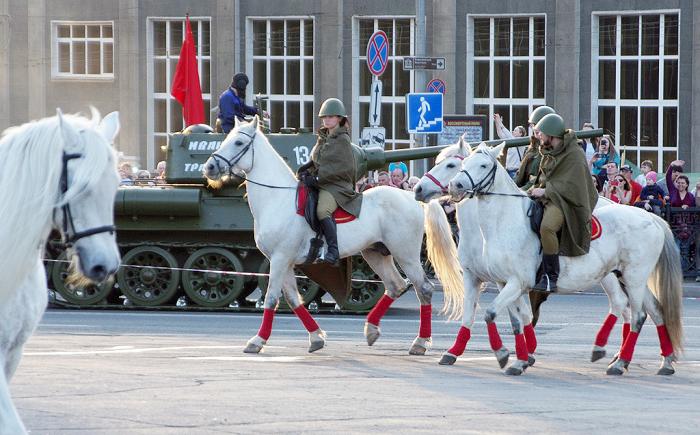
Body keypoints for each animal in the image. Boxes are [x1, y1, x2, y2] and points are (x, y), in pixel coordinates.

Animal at [204, 117, 464, 356]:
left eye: (238, 142)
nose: (209, 167)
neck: (277, 199)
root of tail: (412, 197)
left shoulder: (279, 259)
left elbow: (271, 298)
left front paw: (257, 341)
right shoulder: (283, 262)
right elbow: (293, 299)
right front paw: (316, 337)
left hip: (406, 255)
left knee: (423, 288)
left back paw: (420, 342)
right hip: (376, 253)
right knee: (396, 285)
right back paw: (371, 330)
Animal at [438, 142, 684, 374]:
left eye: (483, 165)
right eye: (463, 163)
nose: (455, 186)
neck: (504, 222)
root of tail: (651, 218)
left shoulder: (517, 282)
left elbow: (491, 313)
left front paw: (504, 354)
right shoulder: (501, 282)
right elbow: (515, 320)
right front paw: (519, 359)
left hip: (633, 278)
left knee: (637, 315)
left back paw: (619, 361)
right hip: (629, 278)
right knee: (654, 311)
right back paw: (663, 362)